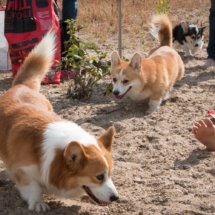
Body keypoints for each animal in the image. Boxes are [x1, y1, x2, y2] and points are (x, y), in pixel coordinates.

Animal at [0, 31, 118, 212]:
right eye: (99, 177)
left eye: (110, 174)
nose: (116, 198)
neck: (53, 157)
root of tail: (21, 86)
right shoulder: (23, 170)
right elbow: (33, 188)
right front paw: (38, 203)